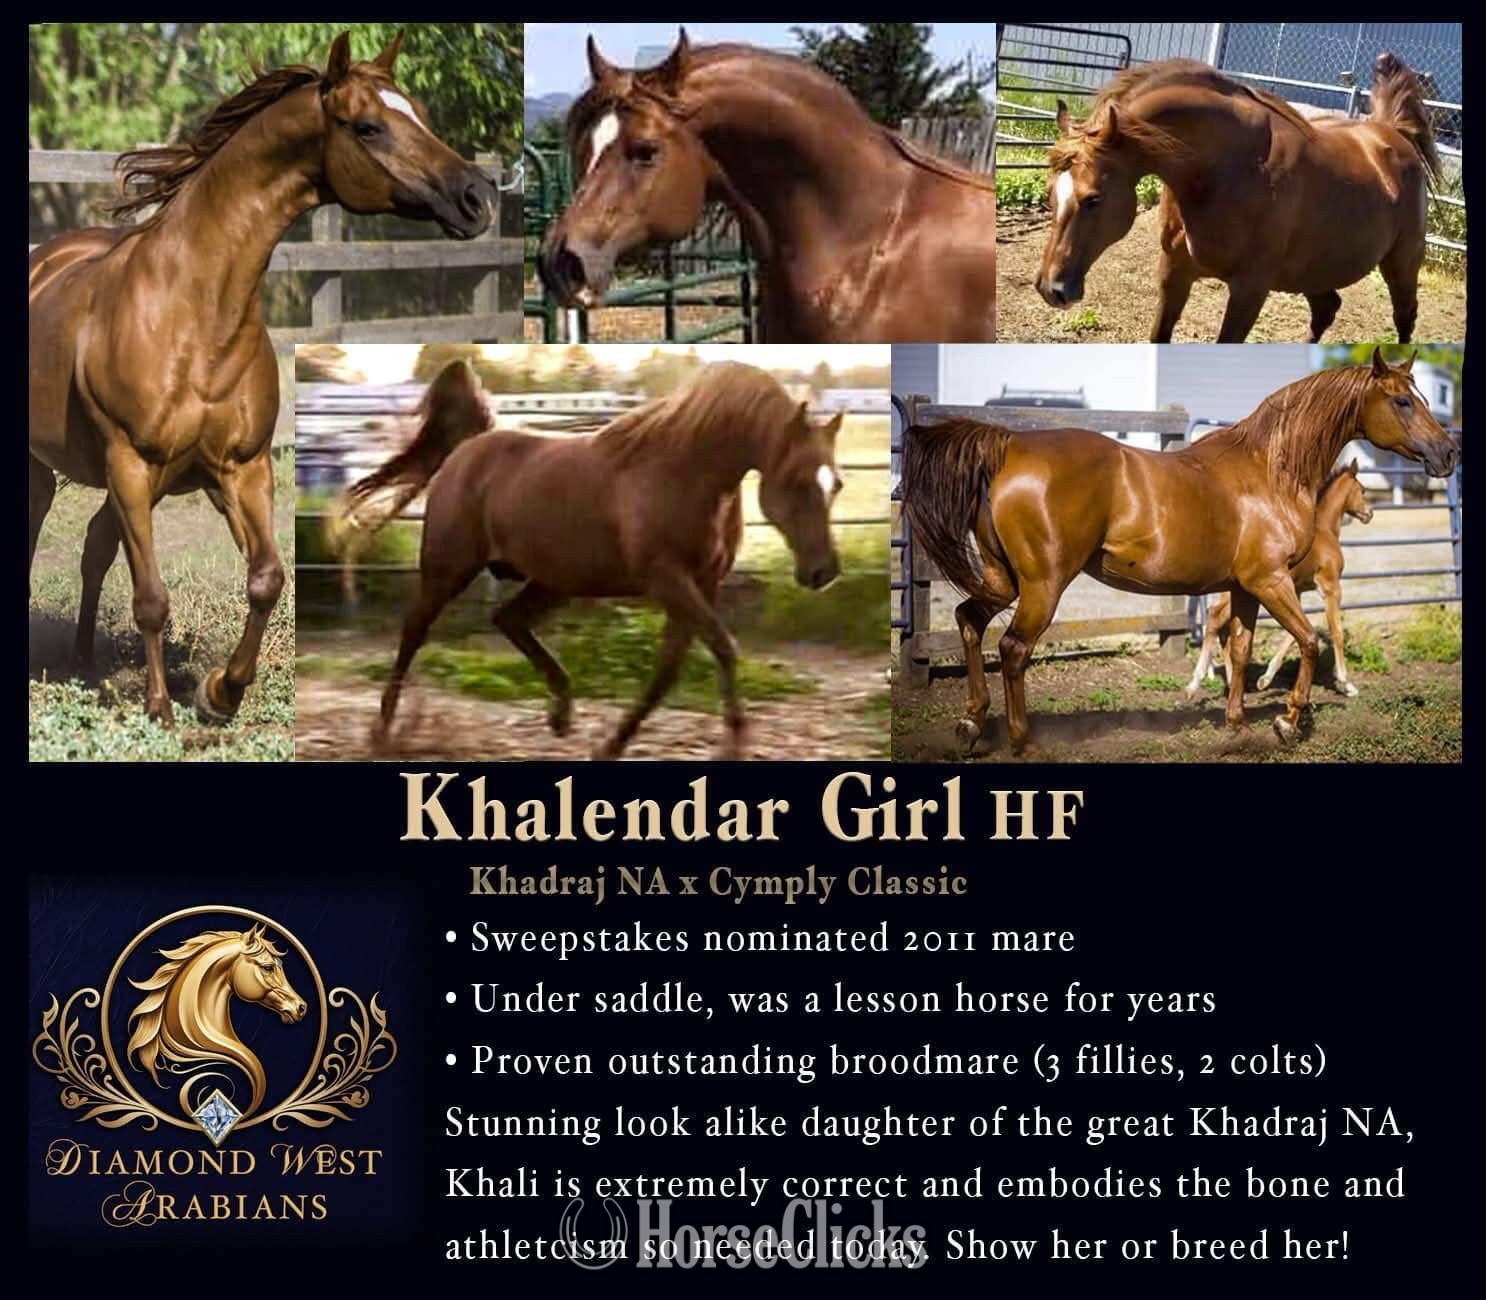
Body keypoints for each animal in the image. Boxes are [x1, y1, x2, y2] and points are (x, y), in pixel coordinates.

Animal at [29, 31, 492, 727]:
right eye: (368, 127)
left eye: (421, 115)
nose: (475, 198)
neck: (193, 312)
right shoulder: (131, 463)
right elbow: (151, 598)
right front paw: (162, 708)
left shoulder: (239, 470)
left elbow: (268, 577)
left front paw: (220, 692)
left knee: (94, 546)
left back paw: (85, 661)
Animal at [367, 361, 844, 758]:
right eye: (796, 481)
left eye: (835, 484)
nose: (824, 572)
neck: (688, 471)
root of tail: (469, 447)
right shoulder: (667, 578)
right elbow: (724, 647)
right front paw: (734, 745)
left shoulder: (702, 584)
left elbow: (671, 668)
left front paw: (611, 746)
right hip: (448, 570)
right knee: (414, 632)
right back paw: (383, 732)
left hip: (555, 580)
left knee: (507, 619)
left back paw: (561, 714)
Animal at [1036, 53, 1440, 343]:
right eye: (1049, 194)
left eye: (1094, 199)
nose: (1050, 289)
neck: (1227, 170)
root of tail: (1390, 132)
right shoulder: (1175, 271)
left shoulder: (1250, 289)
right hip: (1314, 271)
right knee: (1326, 310)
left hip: (1402, 264)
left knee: (1405, 319)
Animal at [1184, 460, 1374, 701]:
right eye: (1363, 490)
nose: (1369, 513)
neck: (1324, 529)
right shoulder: (1330, 587)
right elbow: (1336, 631)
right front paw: (1346, 684)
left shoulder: (1298, 590)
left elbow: (1294, 632)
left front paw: (1265, 679)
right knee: (1216, 619)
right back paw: (1199, 682)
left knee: (1220, 623)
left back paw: (1229, 682)